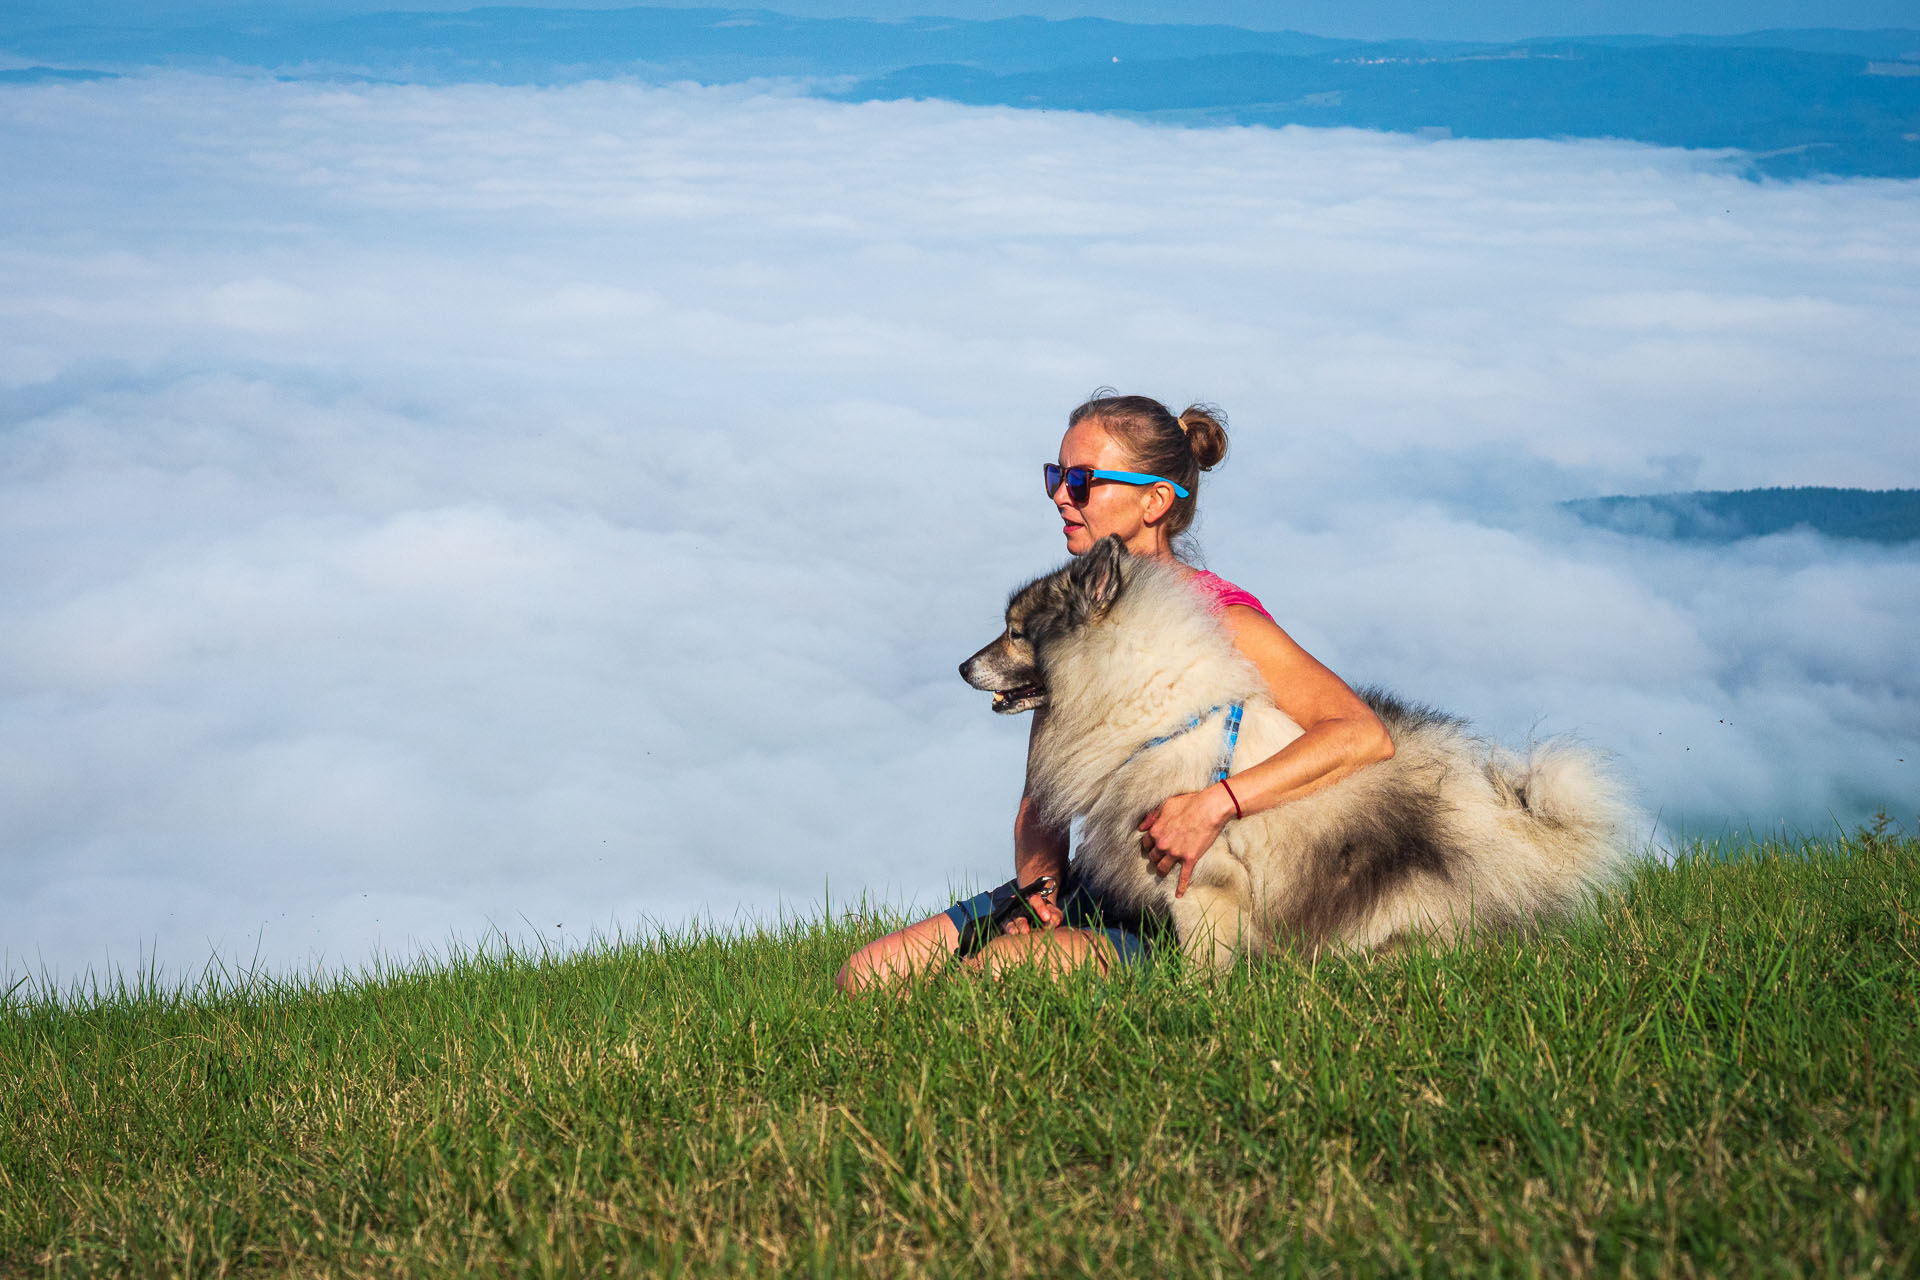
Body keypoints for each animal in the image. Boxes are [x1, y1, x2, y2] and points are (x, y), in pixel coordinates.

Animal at [960, 533, 1635, 971]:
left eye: (1016, 633)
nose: (963, 667)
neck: (1158, 713)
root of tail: (1506, 822)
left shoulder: (1200, 884)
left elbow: (1204, 966)